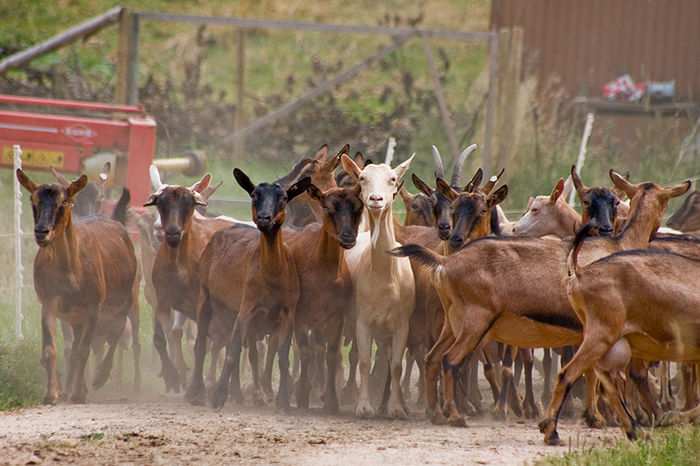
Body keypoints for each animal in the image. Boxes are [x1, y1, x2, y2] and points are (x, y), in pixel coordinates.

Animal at [17, 169, 138, 402]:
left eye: (64, 202)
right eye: (33, 199)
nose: (41, 231)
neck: (72, 272)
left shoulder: (94, 307)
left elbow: (84, 350)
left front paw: (79, 393)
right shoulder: (49, 303)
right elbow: (52, 349)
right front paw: (52, 393)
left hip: (125, 300)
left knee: (117, 333)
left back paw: (100, 377)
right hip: (76, 317)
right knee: (75, 347)